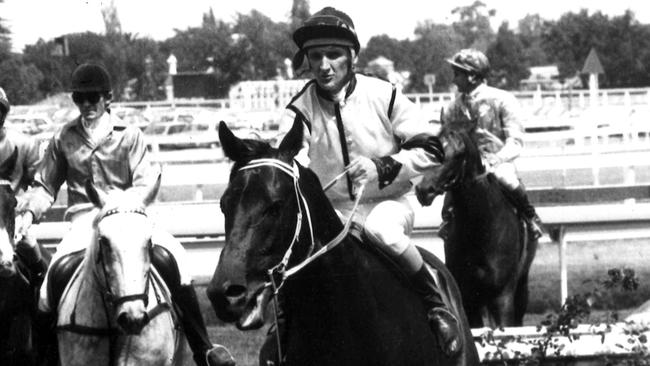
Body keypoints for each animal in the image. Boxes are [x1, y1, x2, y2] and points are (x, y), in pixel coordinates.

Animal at [418, 126, 536, 328]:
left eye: (458, 154)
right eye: (431, 150)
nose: (423, 190)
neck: (480, 233)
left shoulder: (502, 296)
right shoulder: (467, 298)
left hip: (521, 287)